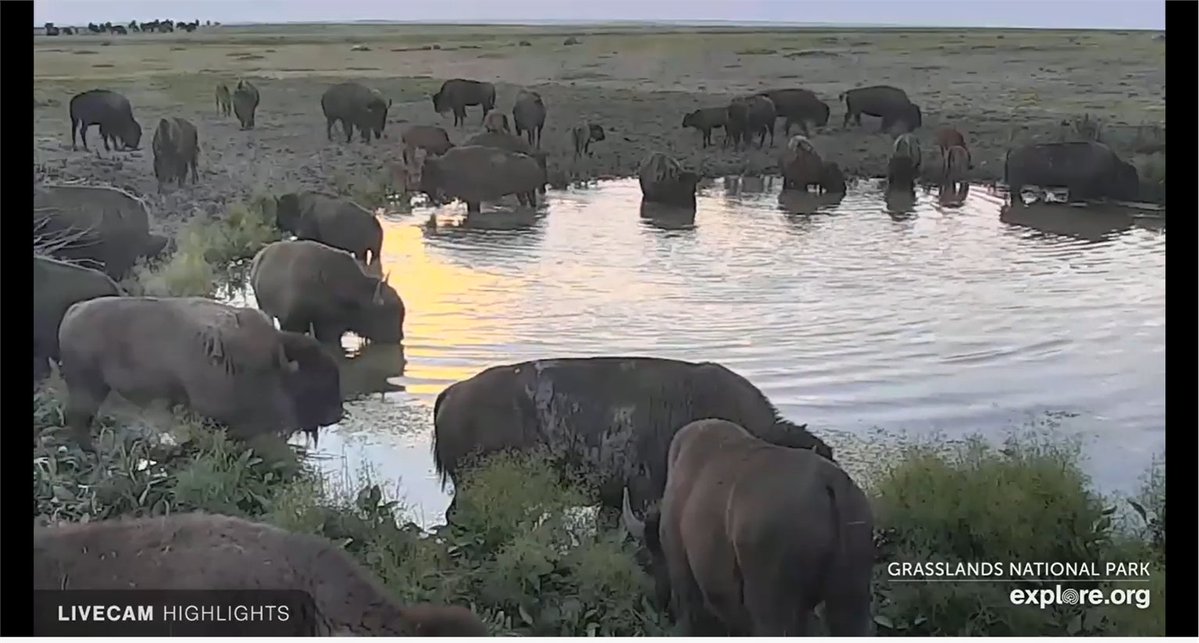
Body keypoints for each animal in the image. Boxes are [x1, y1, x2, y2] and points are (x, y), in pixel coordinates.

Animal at [55, 297, 344, 450]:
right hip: (86, 386)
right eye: (313, 379)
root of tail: (73, 311)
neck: (274, 362)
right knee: (78, 418)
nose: (337, 414)